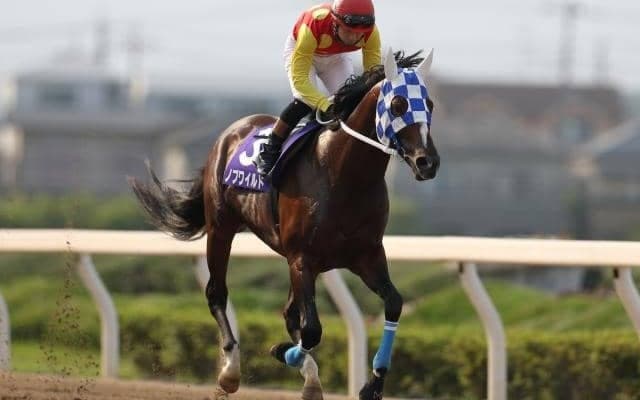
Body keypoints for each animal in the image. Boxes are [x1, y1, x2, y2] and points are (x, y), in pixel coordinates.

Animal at [129, 47, 440, 400]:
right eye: (399, 104)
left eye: (429, 104)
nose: (427, 162)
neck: (344, 175)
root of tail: (230, 132)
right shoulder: (302, 258)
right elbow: (312, 329)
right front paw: (282, 352)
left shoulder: (366, 256)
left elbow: (393, 304)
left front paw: (372, 384)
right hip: (222, 228)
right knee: (217, 292)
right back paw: (231, 370)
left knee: (290, 312)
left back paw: (308, 376)